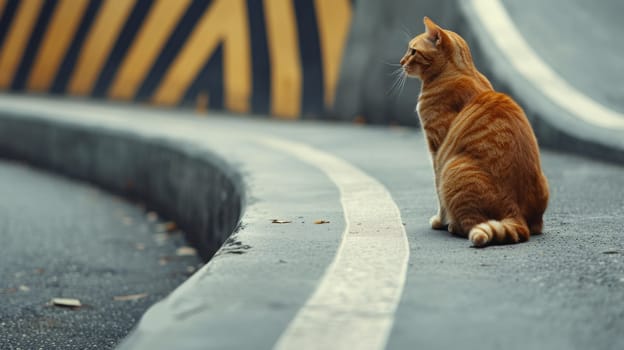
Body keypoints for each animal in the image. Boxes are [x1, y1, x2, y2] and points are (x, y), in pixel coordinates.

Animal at [402, 17, 548, 246]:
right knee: (535, 227)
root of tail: (516, 213)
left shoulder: (437, 150)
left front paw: (440, 221)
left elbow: (438, 192)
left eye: (413, 51)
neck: (460, 71)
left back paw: (453, 226)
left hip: (452, 166)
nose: (401, 62)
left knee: (470, 224)